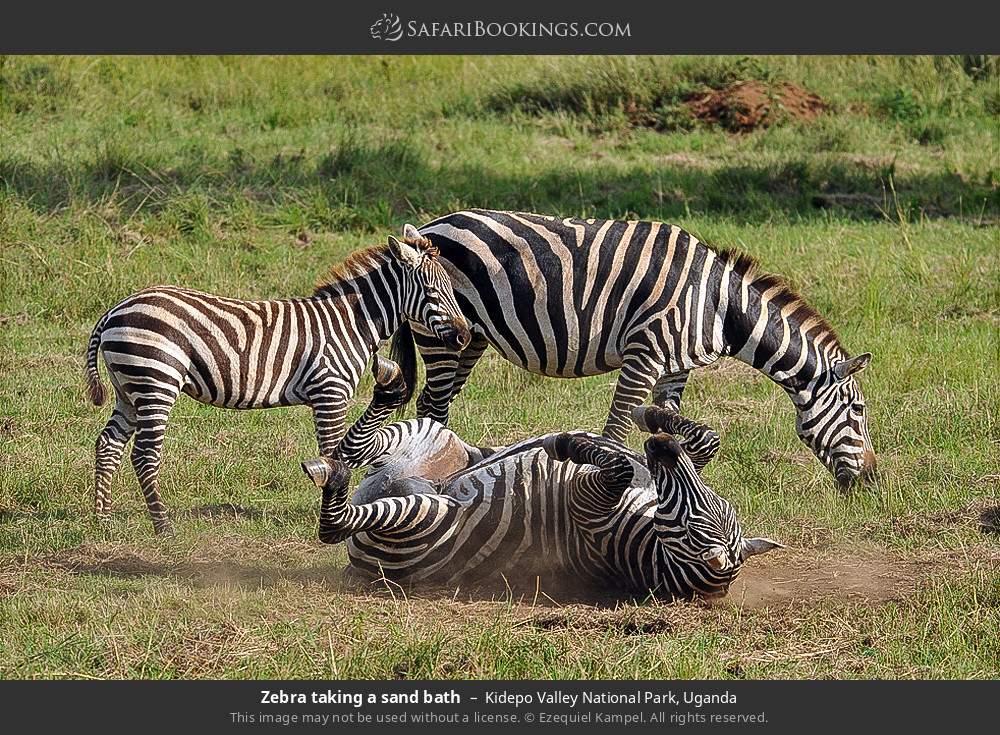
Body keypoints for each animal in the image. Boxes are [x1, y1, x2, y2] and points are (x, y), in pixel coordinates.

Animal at [84, 228, 470, 534]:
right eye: (434, 292)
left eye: (452, 290)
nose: (465, 337)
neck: (351, 322)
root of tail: (116, 309)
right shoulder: (330, 392)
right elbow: (334, 455)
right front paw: (333, 513)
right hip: (156, 382)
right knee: (144, 454)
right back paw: (163, 527)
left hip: (129, 389)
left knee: (108, 444)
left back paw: (102, 519)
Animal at [302, 357, 782, 599]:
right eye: (707, 502)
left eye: (687, 524)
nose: (661, 449)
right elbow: (707, 440)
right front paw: (650, 416)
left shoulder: (587, 504)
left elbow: (619, 466)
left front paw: (568, 445)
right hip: (434, 439)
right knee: (356, 448)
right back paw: (386, 388)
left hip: (425, 515)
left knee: (334, 522)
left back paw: (329, 472)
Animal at [392, 209, 875, 489]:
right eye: (858, 411)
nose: (872, 480)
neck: (718, 306)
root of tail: (430, 226)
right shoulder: (643, 354)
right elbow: (615, 432)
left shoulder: (676, 367)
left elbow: (687, 433)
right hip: (439, 335)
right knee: (432, 406)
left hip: (469, 338)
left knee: (436, 403)